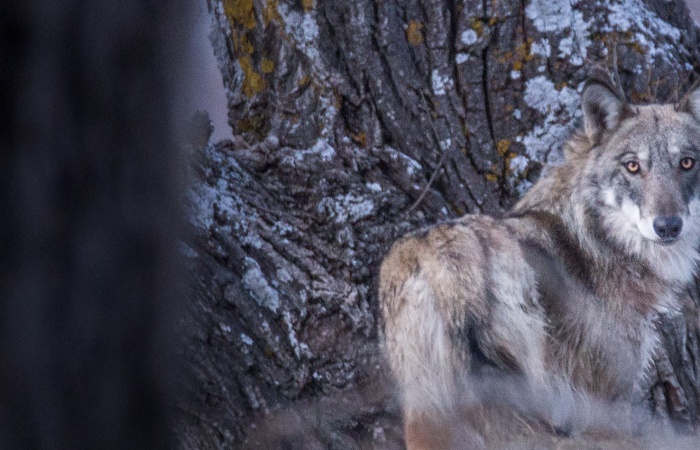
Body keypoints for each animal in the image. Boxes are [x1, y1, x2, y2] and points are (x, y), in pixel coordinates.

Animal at [380, 72, 700, 448]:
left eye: (687, 163)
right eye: (633, 166)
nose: (667, 226)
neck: (598, 242)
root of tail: (447, 259)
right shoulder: (605, 406)